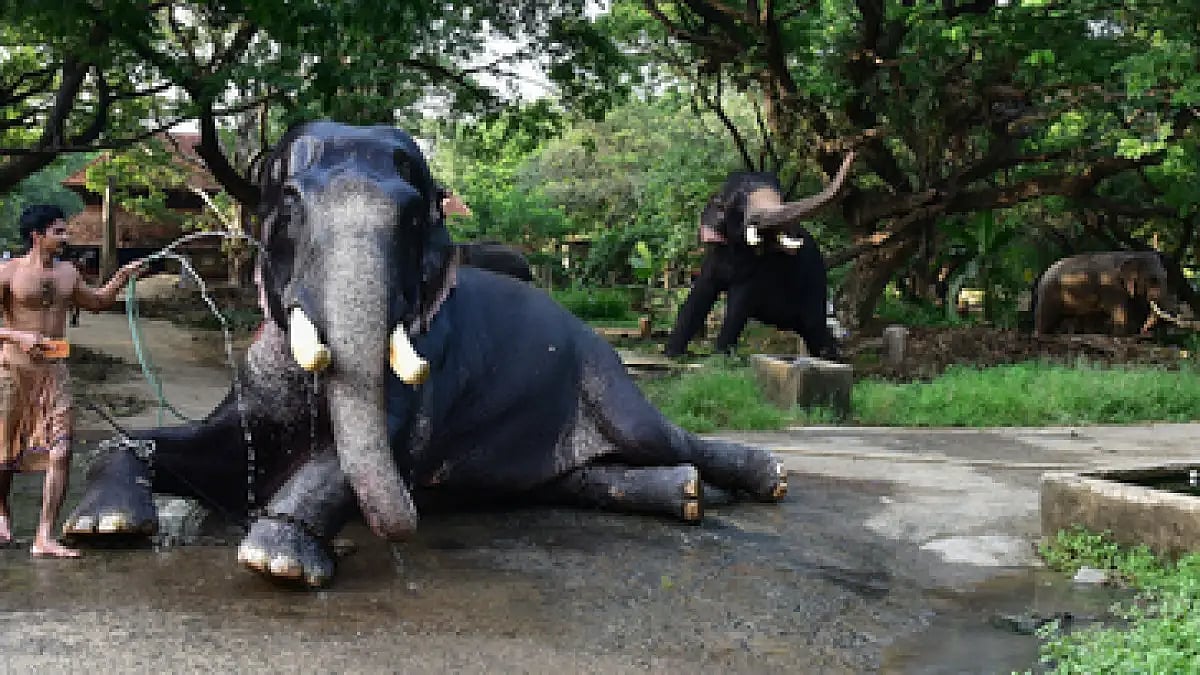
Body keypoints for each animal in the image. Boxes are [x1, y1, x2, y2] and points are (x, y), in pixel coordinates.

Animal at [61, 121, 787, 588]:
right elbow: (212, 447)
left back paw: (758, 479)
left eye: (414, 218)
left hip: (602, 372)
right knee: (582, 476)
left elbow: (378, 445)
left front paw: (277, 559)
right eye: (289, 205)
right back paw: (690, 493)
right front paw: (100, 526)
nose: (418, 505)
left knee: (650, 434)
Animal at [665, 153, 855, 359]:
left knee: (816, 330)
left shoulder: (763, 269)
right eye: (739, 200)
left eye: (781, 195)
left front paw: (719, 357)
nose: (851, 154)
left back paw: (832, 358)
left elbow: (739, 303)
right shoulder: (714, 257)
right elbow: (699, 293)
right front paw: (671, 355)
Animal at [1032, 251, 1186, 336]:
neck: (1132, 254)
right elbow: (1118, 309)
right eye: (1153, 280)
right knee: (1045, 318)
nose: (1143, 331)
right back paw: (1040, 336)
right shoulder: (1110, 285)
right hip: (1049, 294)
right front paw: (1120, 335)